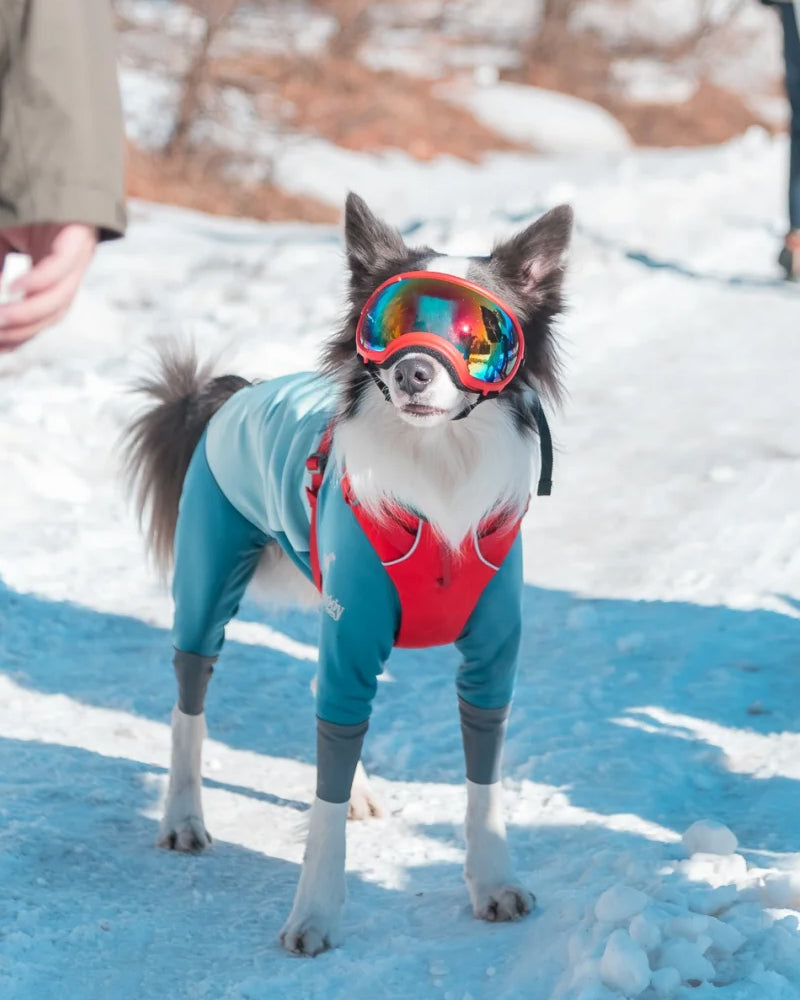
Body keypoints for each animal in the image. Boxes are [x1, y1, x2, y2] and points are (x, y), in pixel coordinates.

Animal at [123, 193, 576, 952]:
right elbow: (323, 804)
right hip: (209, 572)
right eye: (389, 323)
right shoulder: (353, 630)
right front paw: (315, 914)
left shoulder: (489, 659)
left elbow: (482, 784)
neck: (438, 468)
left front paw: (493, 883)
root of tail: (231, 392)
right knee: (190, 698)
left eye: (476, 334)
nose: (413, 372)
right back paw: (182, 816)